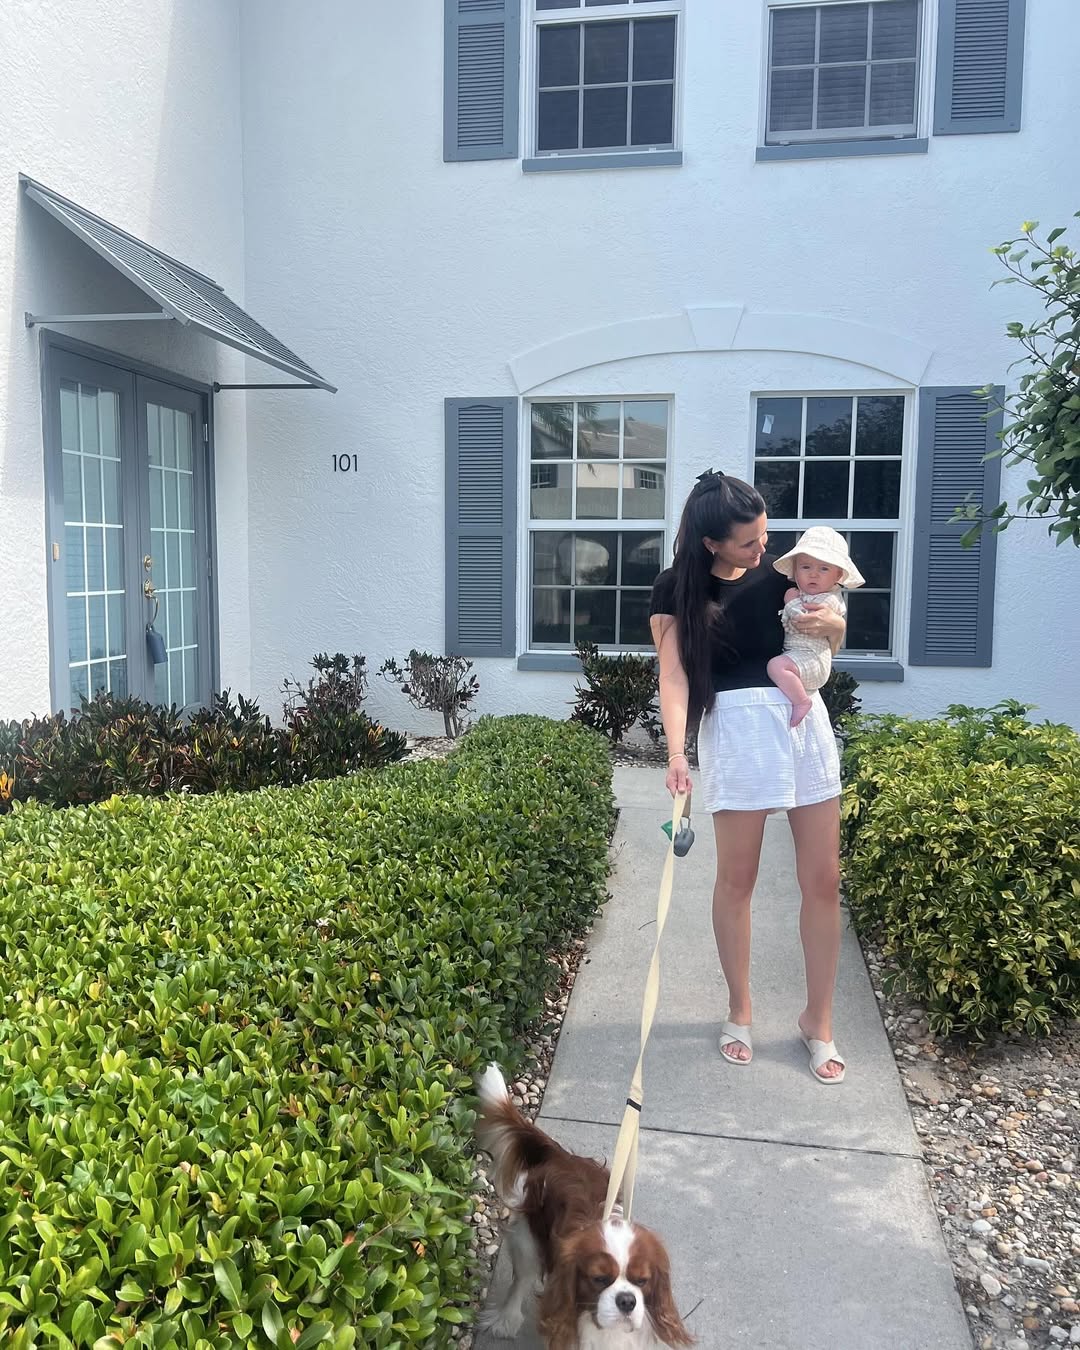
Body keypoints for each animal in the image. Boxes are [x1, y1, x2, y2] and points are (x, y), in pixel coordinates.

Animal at [475, 1065, 693, 1350]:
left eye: (642, 1281)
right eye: (599, 1279)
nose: (627, 1300)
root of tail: (562, 1156)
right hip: (528, 1240)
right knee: (521, 1280)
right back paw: (506, 1319)